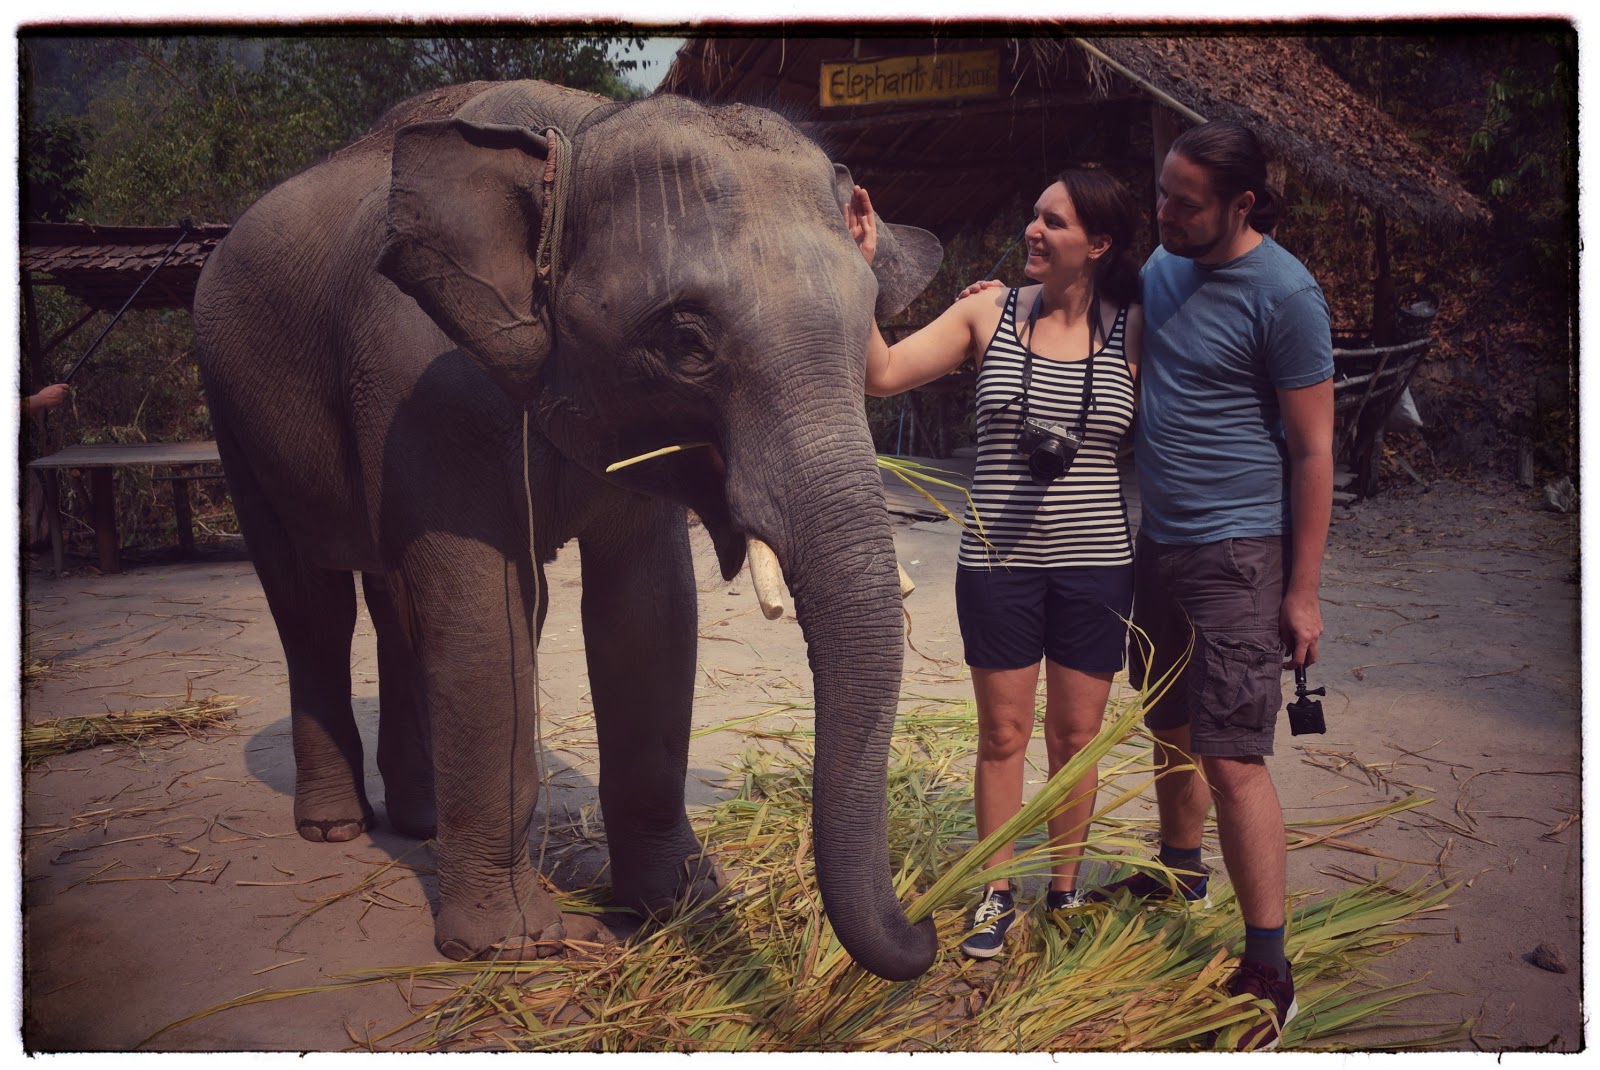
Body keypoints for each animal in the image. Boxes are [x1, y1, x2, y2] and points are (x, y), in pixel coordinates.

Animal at [191, 80, 944, 982]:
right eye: (686, 341)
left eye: (869, 326)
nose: (929, 930)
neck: (576, 134)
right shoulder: (425, 386)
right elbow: (486, 622)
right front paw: (517, 944)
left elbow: (649, 616)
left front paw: (681, 901)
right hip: (230, 408)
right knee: (312, 602)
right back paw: (337, 827)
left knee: (397, 602)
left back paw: (420, 824)